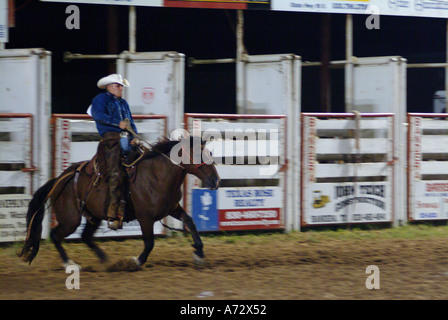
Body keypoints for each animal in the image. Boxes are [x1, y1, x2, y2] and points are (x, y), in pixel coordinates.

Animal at [18, 136, 220, 268]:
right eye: (199, 154)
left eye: (210, 152)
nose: (216, 181)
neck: (157, 175)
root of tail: (60, 179)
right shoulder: (145, 218)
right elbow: (149, 243)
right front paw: (136, 261)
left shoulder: (172, 208)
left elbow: (190, 222)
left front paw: (199, 254)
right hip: (70, 219)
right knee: (55, 235)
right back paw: (69, 263)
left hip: (94, 216)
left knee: (85, 236)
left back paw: (106, 261)